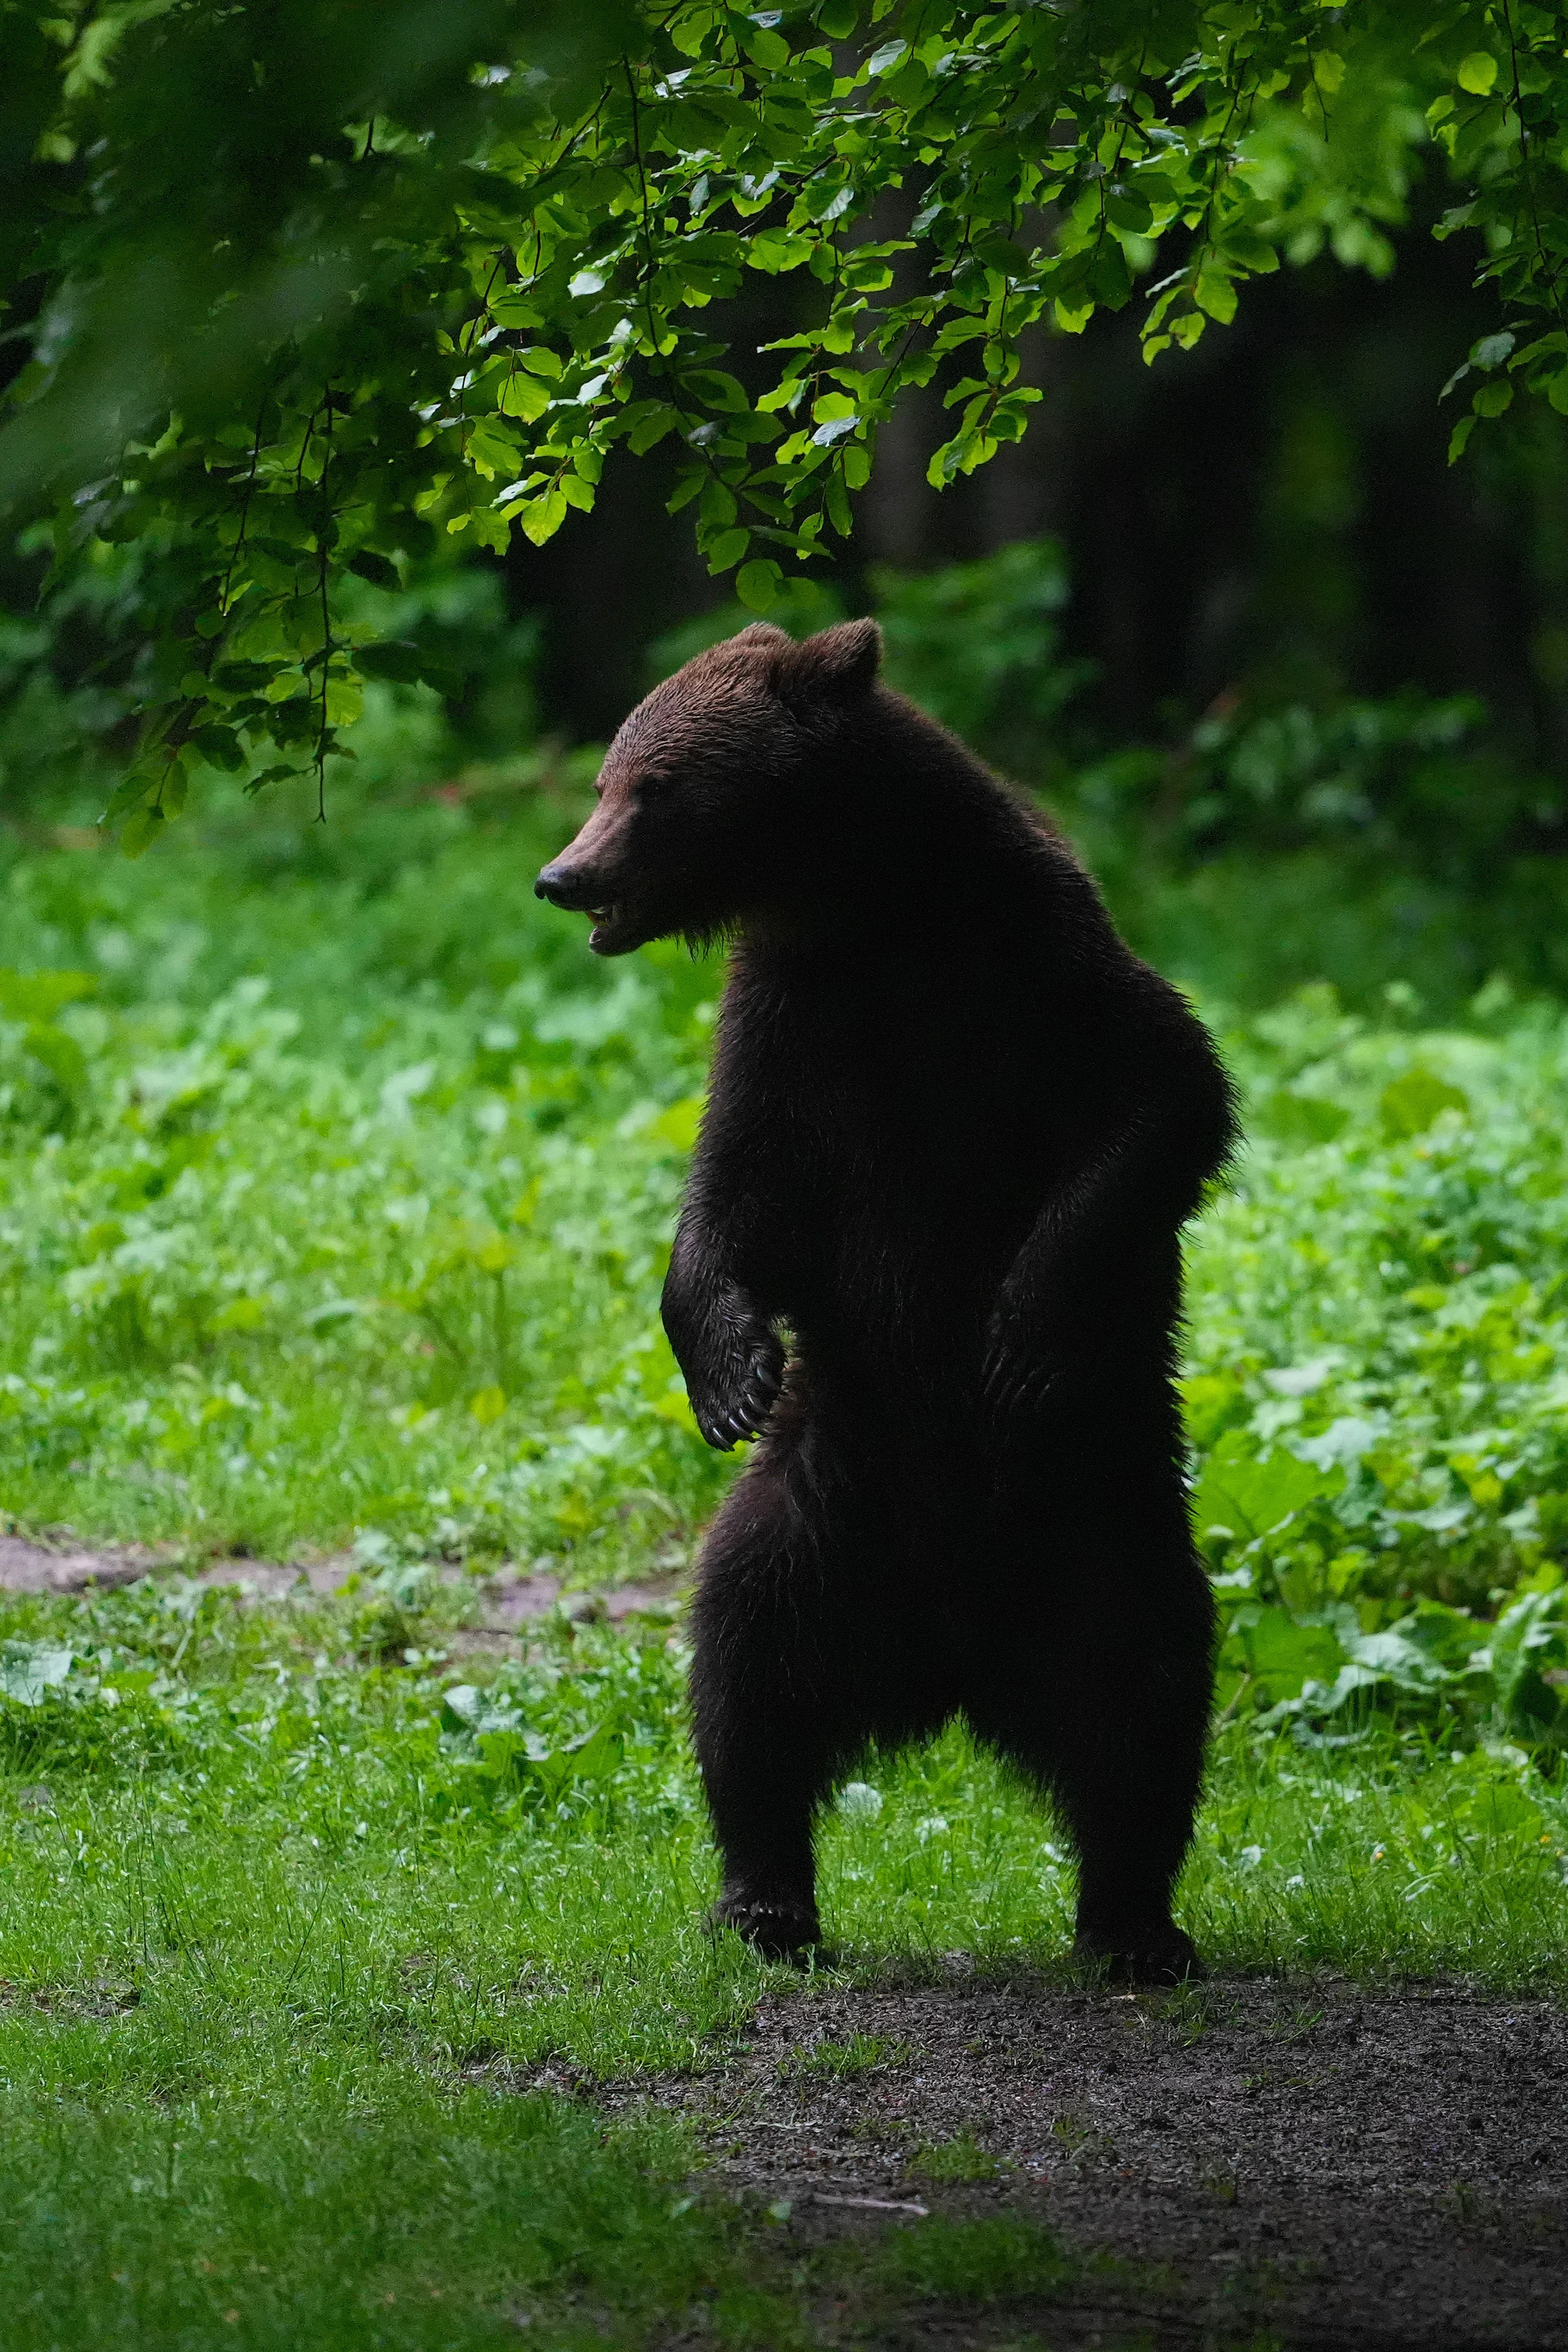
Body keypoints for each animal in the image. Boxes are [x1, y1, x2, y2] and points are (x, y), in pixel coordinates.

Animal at [535, 617, 1237, 1981]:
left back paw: (1134, 1922)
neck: (869, 907)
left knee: (1140, 1692)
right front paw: (731, 1373)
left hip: (1100, 1515)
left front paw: (1023, 1325)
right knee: (742, 1679)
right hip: (815, 1510)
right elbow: (730, 1195)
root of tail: (951, 1658)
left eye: (652, 786)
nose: (562, 875)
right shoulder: (789, 1027)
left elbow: (1161, 1094)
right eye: (607, 775)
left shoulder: (1033, 968)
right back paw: (763, 1901)